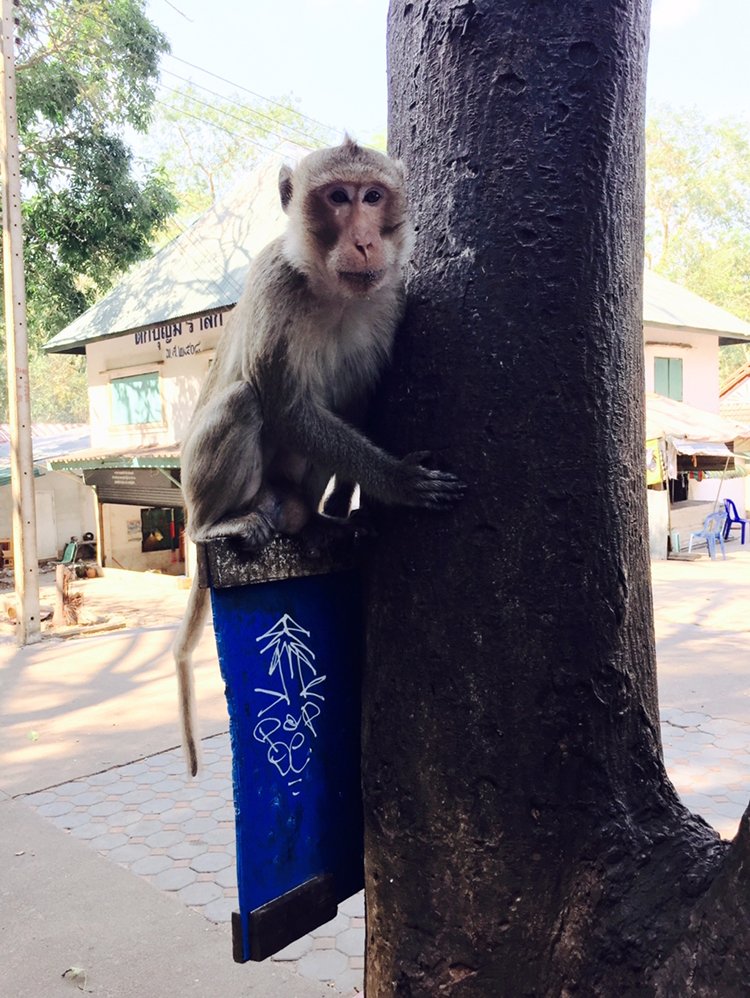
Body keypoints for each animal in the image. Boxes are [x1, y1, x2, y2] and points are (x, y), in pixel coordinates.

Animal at [173, 138, 464, 776]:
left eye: (372, 196)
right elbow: (285, 405)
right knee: (244, 400)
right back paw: (219, 524)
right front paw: (397, 481)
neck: (332, 291)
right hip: (197, 484)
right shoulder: (275, 283)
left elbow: (356, 406)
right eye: (337, 198)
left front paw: (350, 503)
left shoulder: (392, 299)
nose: (364, 241)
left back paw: (313, 518)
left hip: (289, 491)